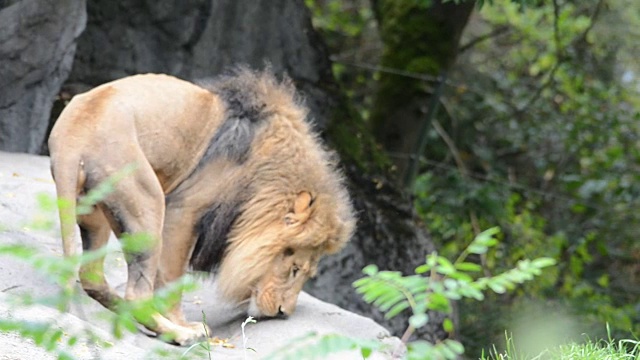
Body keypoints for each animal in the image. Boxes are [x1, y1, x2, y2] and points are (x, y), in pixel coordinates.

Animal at [47, 68, 358, 346]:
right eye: (294, 269)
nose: (283, 313)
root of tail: (71, 137)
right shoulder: (183, 212)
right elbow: (172, 278)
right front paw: (184, 324)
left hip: (96, 212)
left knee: (92, 278)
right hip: (148, 202)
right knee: (136, 293)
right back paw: (179, 334)